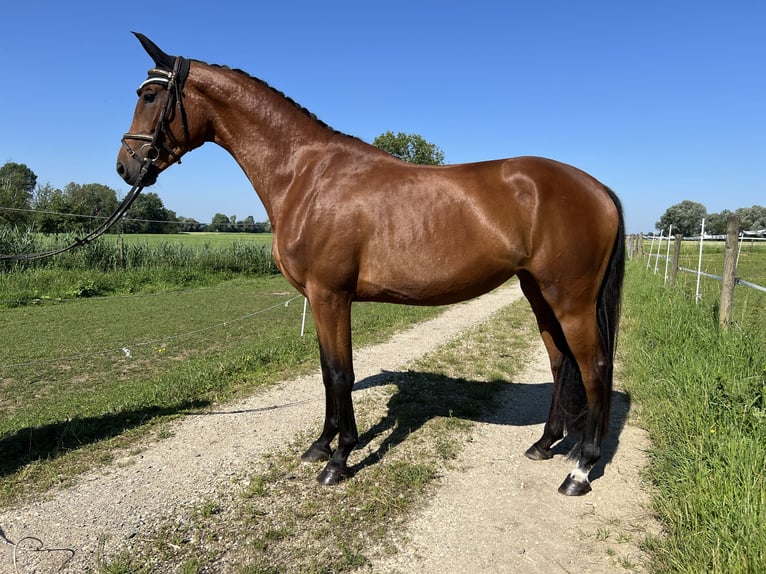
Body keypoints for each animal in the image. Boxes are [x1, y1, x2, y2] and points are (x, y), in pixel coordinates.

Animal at [118, 33, 624, 498]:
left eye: (150, 96)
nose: (127, 165)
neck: (308, 175)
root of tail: (597, 188)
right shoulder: (320, 299)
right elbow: (327, 371)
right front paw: (320, 446)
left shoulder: (330, 295)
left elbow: (342, 373)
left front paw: (339, 460)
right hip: (537, 291)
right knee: (561, 363)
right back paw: (543, 444)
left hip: (571, 299)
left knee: (594, 367)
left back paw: (580, 471)